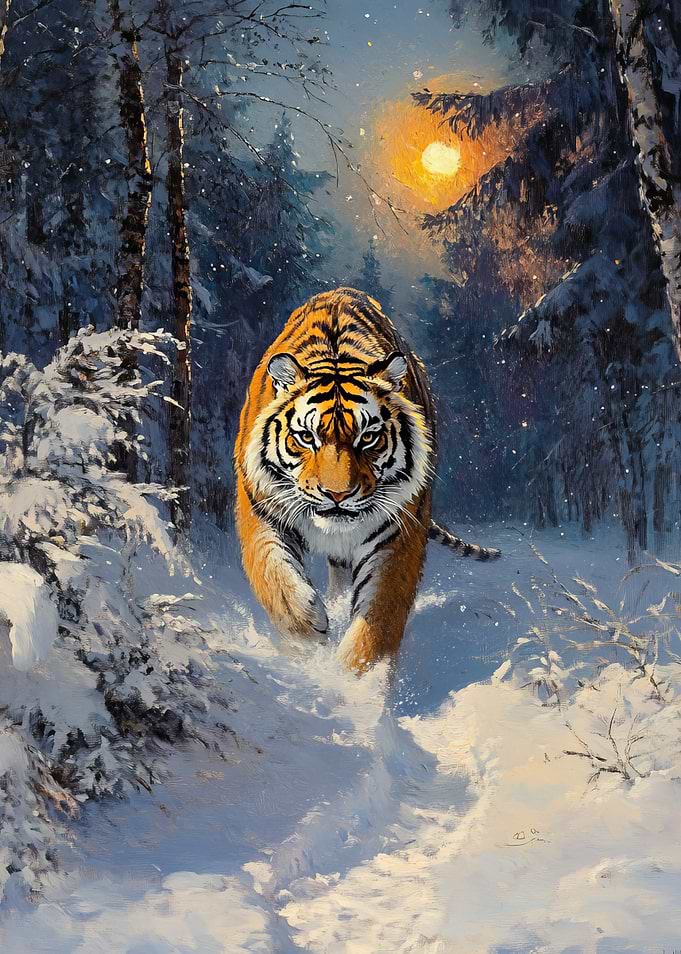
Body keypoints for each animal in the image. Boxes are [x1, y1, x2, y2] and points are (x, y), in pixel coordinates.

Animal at [234, 287, 500, 671]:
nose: (337, 495)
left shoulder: (398, 533)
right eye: (307, 437)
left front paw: (357, 679)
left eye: (368, 438)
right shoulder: (261, 508)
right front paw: (306, 633)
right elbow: (273, 575)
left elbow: (378, 618)